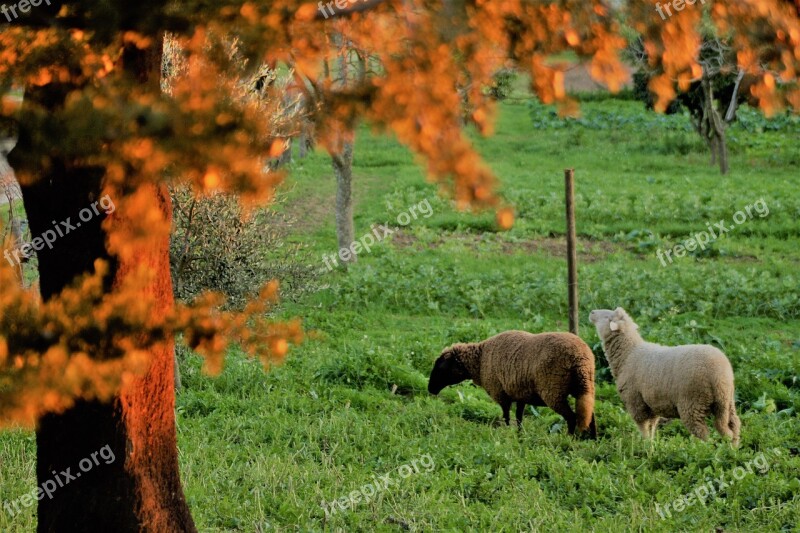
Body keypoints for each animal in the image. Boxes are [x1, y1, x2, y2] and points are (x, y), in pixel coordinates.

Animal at [428, 330, 596, 438]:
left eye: (441, 368)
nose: (430, 389)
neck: (480, 360)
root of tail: (581, 358)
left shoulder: (500, 393)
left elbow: (506, 416)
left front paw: (507, 433)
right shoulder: (520, 394)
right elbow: (519, 417)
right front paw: (519, 435)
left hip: (553, 391)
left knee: (572, 417)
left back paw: (568, 439)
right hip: (584, 386)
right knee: (589, 414)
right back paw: (593, 440)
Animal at [592, 306, 740, 442]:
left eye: (608, 317)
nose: (592, 312)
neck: (628, 354)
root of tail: (719, 374)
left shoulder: (635, 401)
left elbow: (643, 426)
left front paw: (645, 445)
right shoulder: (652, 404)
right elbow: (651, 426)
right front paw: (652, 444)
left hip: (692, 402)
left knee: (703, 433)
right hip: (726, 401)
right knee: (733, 426)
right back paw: (733, 448)